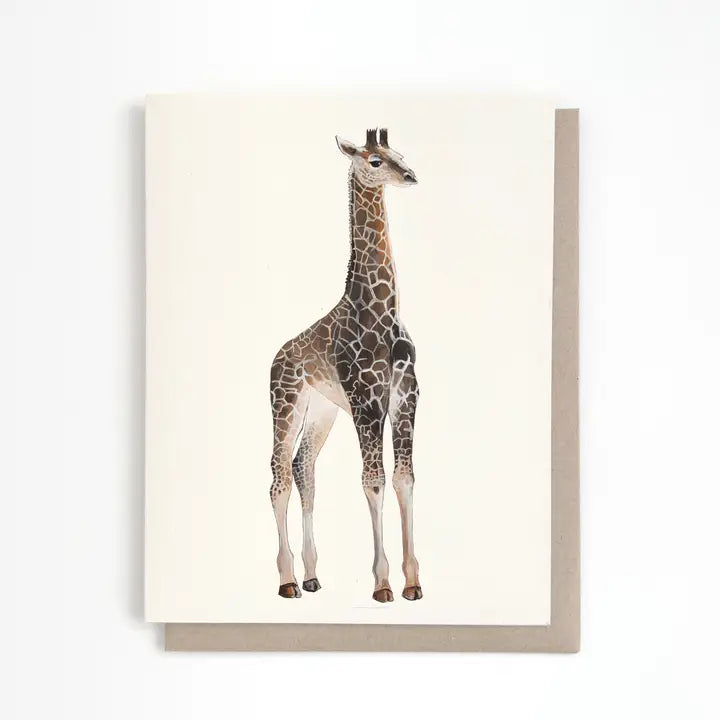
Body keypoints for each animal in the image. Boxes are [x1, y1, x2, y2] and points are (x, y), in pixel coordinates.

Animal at [269, 128, 421, 603]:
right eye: (374, 161)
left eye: (399, 154)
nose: (410, 176)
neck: (381, 311)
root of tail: (276, 358)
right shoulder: (367, 403)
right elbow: (372, 481)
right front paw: (382, 583)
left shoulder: (405, 399)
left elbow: (404, 478)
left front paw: (413, 581)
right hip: (286, 404)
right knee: (279, 475)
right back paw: (286, 581)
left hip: (321, 411)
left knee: (304, 468)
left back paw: (311, 576)